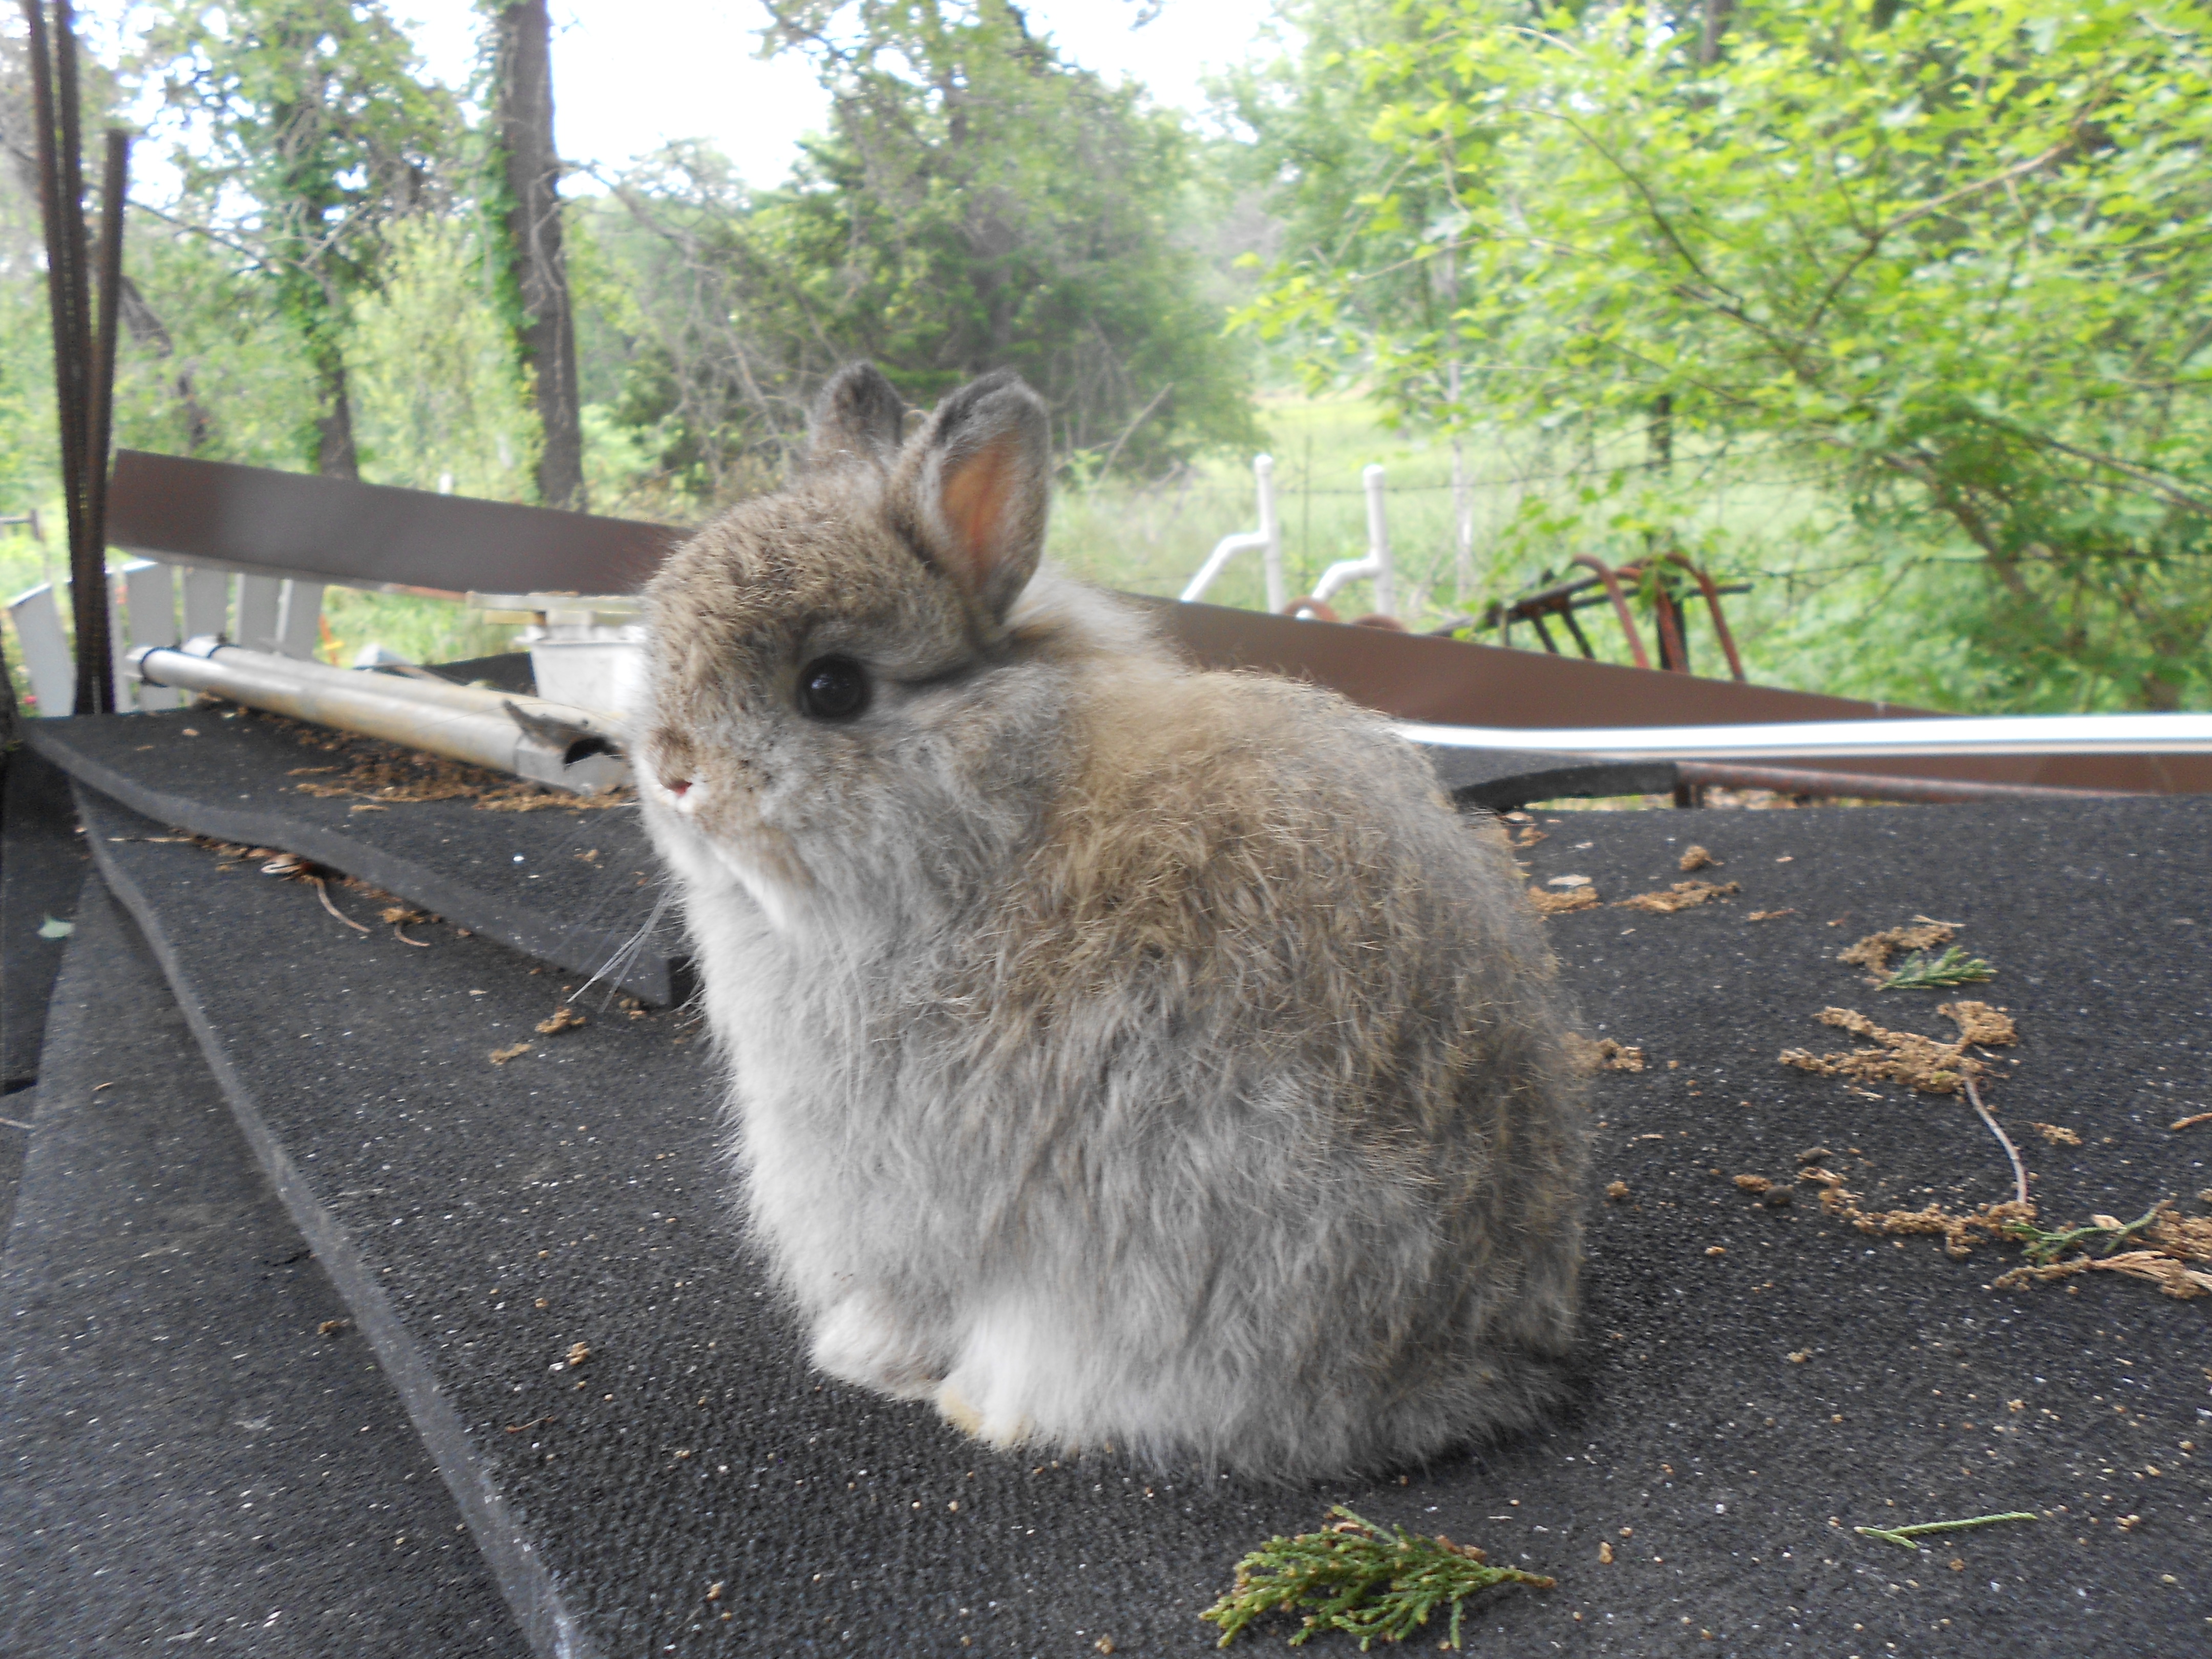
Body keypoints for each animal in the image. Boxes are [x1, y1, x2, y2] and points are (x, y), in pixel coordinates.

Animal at [634, 362, 1590, 1481]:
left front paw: (857, 1357)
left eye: (831, 688)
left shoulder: (919, 1195)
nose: (673, 772)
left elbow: (918, 1296)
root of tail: (1465, 1373)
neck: (994, 821)